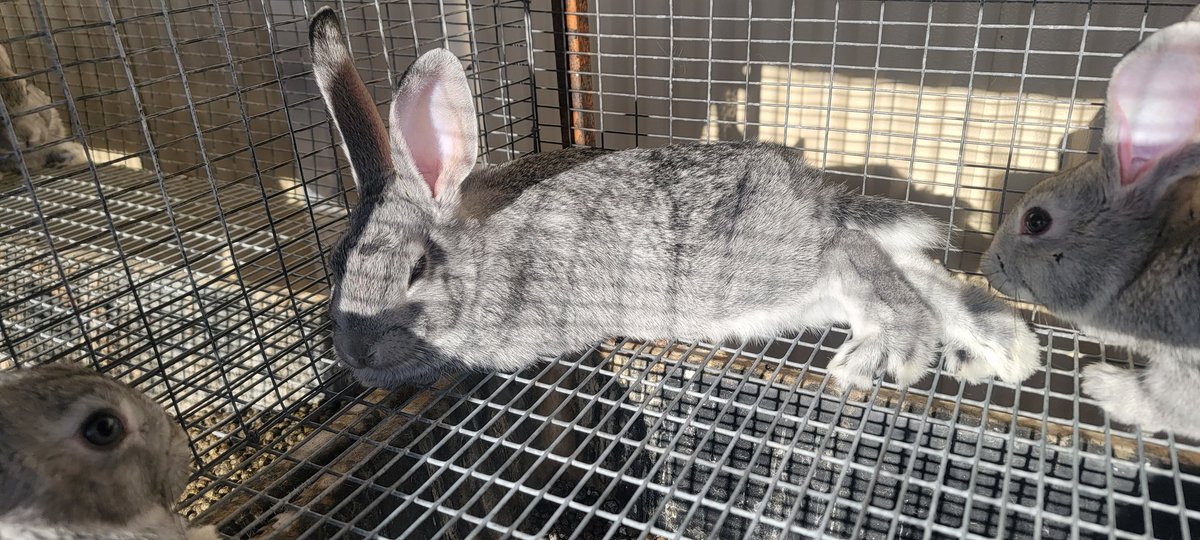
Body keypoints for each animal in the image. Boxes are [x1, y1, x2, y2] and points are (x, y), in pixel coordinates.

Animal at [309, 6, 1040, 393]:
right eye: (336, 265)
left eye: (416, 271)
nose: (353, 355)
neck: (482, 253)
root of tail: (812, 195)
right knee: (915, 269)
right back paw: (1002, 346)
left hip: (768, 267)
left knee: (857, 252)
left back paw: (894, 353)